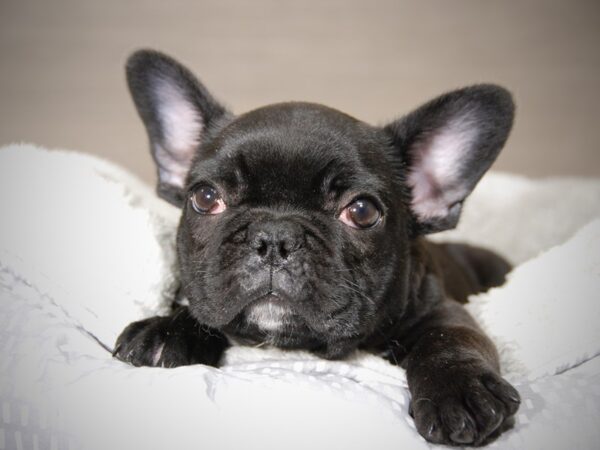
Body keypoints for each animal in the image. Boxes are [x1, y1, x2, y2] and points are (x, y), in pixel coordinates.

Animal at [115, 50, 516, 446]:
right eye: (205, 197)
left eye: (362, 211)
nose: (274, 237)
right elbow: (197, 309)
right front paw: (166, 330)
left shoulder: (441, 308)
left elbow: (450, 336)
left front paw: (459, 390)